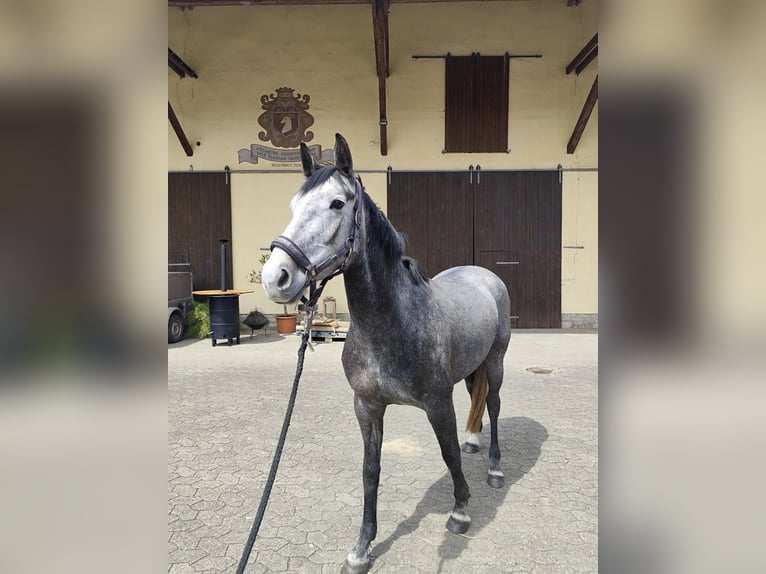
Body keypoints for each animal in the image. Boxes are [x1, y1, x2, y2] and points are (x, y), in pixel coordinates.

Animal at [262, 134, 511, 573]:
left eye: (337, 203)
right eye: (294, 205)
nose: (275, 277)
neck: (394, 322)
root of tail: (484, 275)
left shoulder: (437, 403)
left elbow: (447, 455)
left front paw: (460, 511)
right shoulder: (367, 406)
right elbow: (370, 470)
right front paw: (362, 547)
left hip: (495, 361)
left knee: (494, 405)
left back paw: (495, 469)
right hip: (471, 367)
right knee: (478, 401)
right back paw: (474, 441)